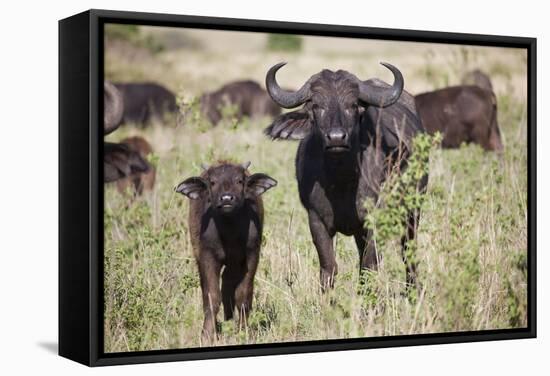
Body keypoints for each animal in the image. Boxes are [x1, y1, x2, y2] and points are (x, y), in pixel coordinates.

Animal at [266, 61, 426, 290]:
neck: (340, 181)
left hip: (413, 210)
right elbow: (328, 268)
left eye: (352, 105)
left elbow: (370, 265)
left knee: (408, 252)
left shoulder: (374, 220)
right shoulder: (316, 220)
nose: (336, 138)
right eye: (316, 105)